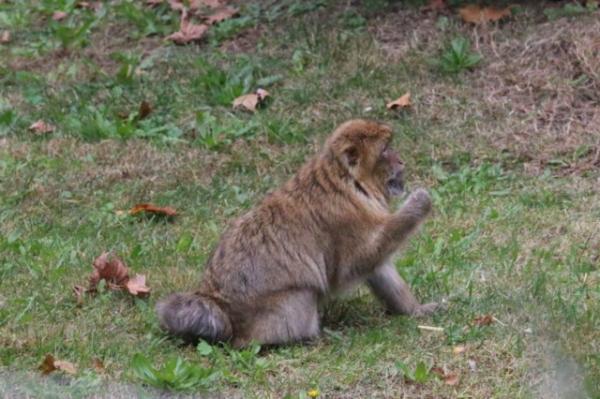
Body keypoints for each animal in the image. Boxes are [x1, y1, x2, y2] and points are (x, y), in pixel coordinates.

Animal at [157, 119, 438, 346]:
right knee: (302, 295)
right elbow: (352, 266)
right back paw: (304, 337)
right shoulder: (346, 220)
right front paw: (418, 203)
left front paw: (414, 310)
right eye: (386, 150)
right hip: (274, 310)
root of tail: (220, 306)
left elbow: (377, 267)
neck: (349, 181)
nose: (401, 161)